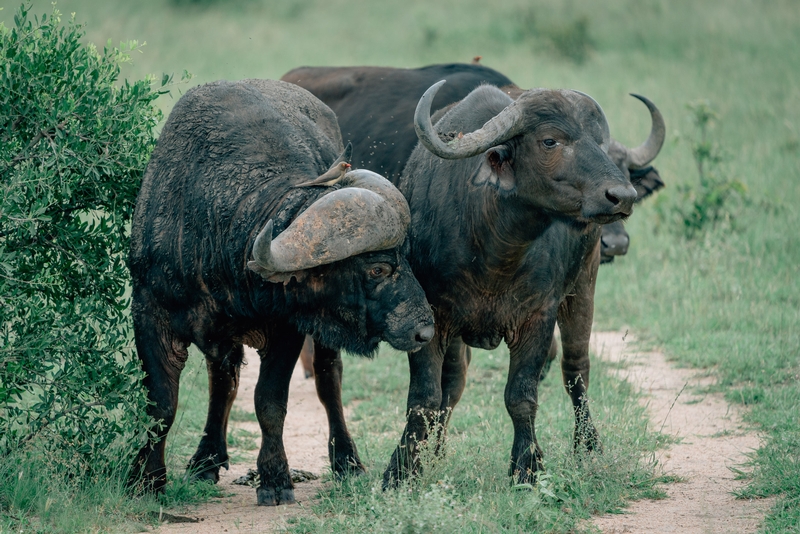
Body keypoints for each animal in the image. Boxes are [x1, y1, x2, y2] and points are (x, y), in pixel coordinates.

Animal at [128, 78, 434, 506]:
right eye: (377, 268)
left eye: (406, 256)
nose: (425, 331)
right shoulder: (149, 311)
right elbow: (160, 403)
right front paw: (146, 478)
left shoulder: (288, 326)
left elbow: (269, 401)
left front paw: (274, 478)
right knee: (223, 380)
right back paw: (206, 460)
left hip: (319, 341)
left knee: (328, 379)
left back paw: (346, 460)